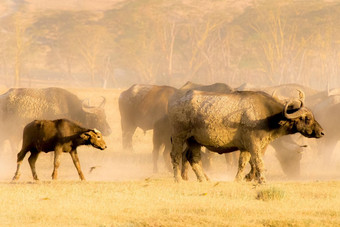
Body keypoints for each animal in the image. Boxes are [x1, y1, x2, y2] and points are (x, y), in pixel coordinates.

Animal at [169, 89, 324, 184]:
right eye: (307, 118)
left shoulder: (246, 147)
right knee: (176, 156)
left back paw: (203, 179)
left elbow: (243, 163)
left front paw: (239, 179)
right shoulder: (254, 144)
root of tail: (175, 103)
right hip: (178, 137)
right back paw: (178, 179)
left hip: (194, 141)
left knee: (194, 158)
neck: (268, 116)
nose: (322, 132)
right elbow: (258, 163)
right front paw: (262, 181)